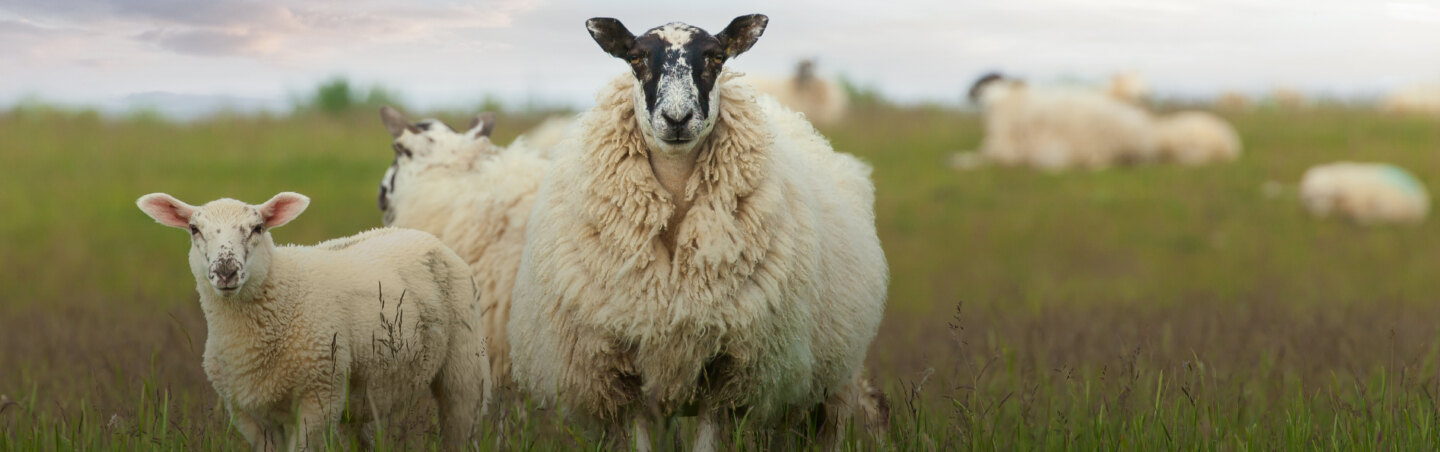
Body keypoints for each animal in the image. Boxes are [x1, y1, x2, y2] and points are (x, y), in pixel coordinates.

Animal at [136, 192, 491, 451]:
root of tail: (420, 235)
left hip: (466, 369)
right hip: (358, 398)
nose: (226, 271)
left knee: (462, 426)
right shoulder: (246, 412)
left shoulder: (318, 398)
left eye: (258, 228)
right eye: (194, 229)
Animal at [508, 14, 889, 450]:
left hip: (824, 378)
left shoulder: (727, 371)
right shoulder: (623, 371)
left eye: (716, 58)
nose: (677, 119)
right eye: (636, 58)